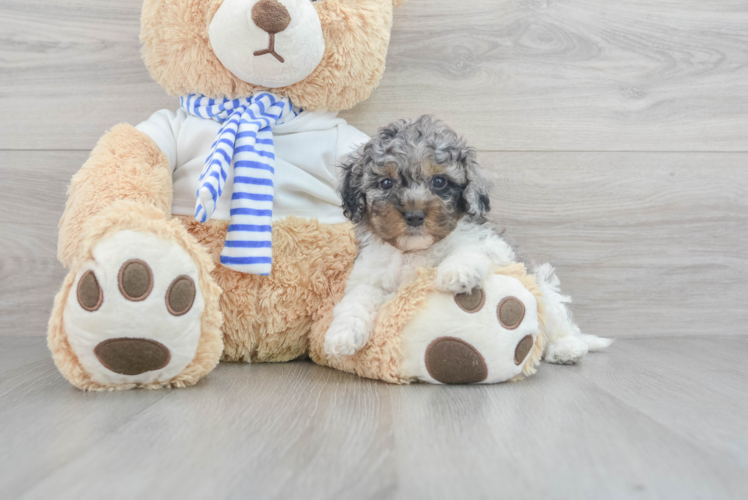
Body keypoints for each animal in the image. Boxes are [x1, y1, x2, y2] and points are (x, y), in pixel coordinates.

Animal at [324, 114, 612, 364]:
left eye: (439, 181)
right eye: (386, 183)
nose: (415, 216)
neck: (415, 251)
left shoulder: (494, 245)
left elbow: (470, 248)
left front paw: (456, 272)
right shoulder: (369, 275)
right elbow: (357, 297)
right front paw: (342, 334)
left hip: (546, 293)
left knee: (560, 323)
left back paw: (567, 348)